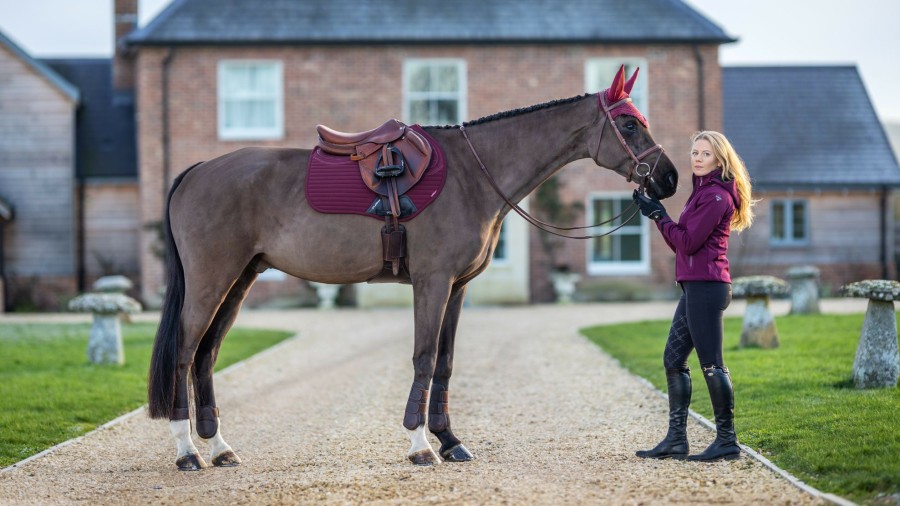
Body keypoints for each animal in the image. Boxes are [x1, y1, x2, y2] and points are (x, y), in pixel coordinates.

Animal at [146, 66, 676, 470]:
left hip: (240, 280)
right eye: (630, 126)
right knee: (184, 353)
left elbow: (444, 362)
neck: (471, 175)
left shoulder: (457, 288)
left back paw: (219, 447)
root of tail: (197, 170)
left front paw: (450, 440)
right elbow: (423, 357)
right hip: (211, 281)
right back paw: (187, 451)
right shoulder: (432, 282)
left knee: (206, 356)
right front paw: (421, 444)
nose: (669, 178)